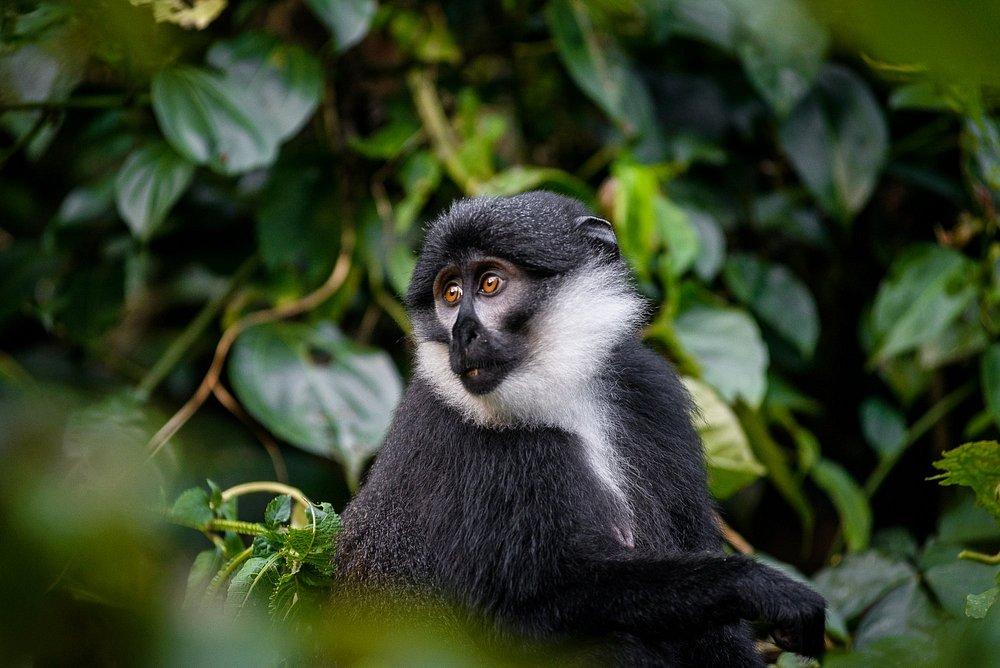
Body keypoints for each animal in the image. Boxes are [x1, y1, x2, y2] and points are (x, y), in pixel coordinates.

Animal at [335, 191, 825, 665]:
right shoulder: (463, 437)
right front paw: (755, 585)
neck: (561, 399)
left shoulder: (652, 392)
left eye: (490, 283)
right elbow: (527, 609)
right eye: (451, 294)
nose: (462, 333)